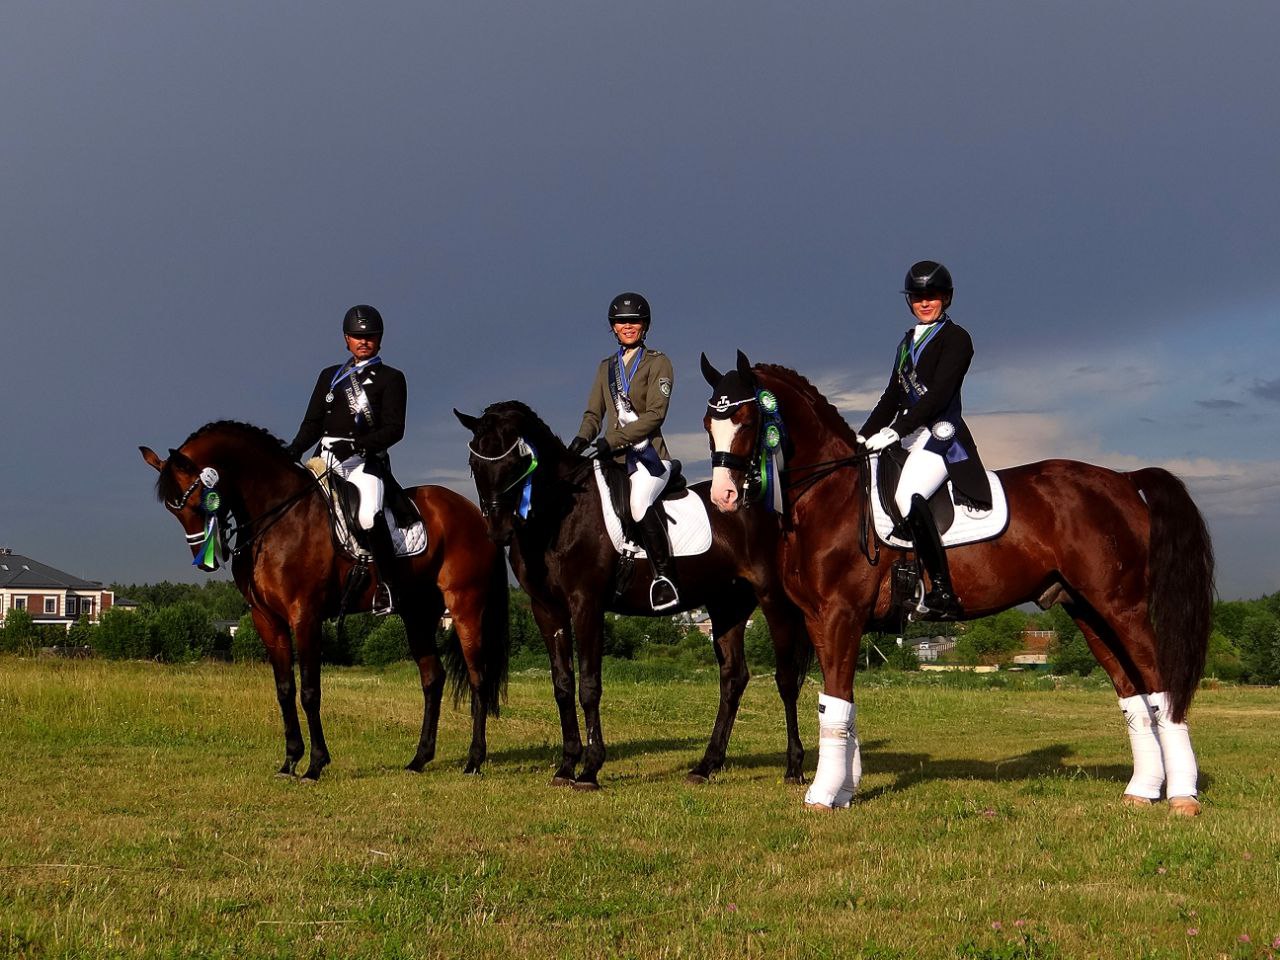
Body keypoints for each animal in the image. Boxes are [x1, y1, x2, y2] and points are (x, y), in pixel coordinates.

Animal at [140, 420, 510, 780]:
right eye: (174, 511)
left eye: (198, 502)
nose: (206, 561)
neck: (277, 517)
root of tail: (472, 512)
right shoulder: (267, 619)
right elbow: (285, 689)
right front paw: (289, 761)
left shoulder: (304, 615)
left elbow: (309, 690)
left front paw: (315, 764)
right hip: (417, 613)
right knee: (433, 678)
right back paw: (419, 760)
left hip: (464, 606)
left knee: (478, 679)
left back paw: (474, 761)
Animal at [453, 401, 813, 789]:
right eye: (474, 464)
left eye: (518, 461)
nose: (499, 531)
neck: (560, 516)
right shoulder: (546, 609)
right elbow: (563, 684)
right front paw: (566, 766)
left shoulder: (586, 604)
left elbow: (589, 685)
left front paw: (590, 769)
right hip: (727, 606)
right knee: (733, 677)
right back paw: (706, 766)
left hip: (772, 599)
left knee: (786, 678)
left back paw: (794, 767)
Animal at [701, 352, 1214, 815]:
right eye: (709, 423)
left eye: (746, 418)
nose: (723, 496)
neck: (831, 497)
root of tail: (1122, 479)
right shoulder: (820, 619)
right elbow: (839, 705)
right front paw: (844, 791)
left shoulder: (839, 615)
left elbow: (836, 703)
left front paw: (823, 796)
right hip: (1088, 611)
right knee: (1134, 696)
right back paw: (1142, 791)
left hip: (1121, 606)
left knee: (1161, 688)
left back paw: (1182, 797)